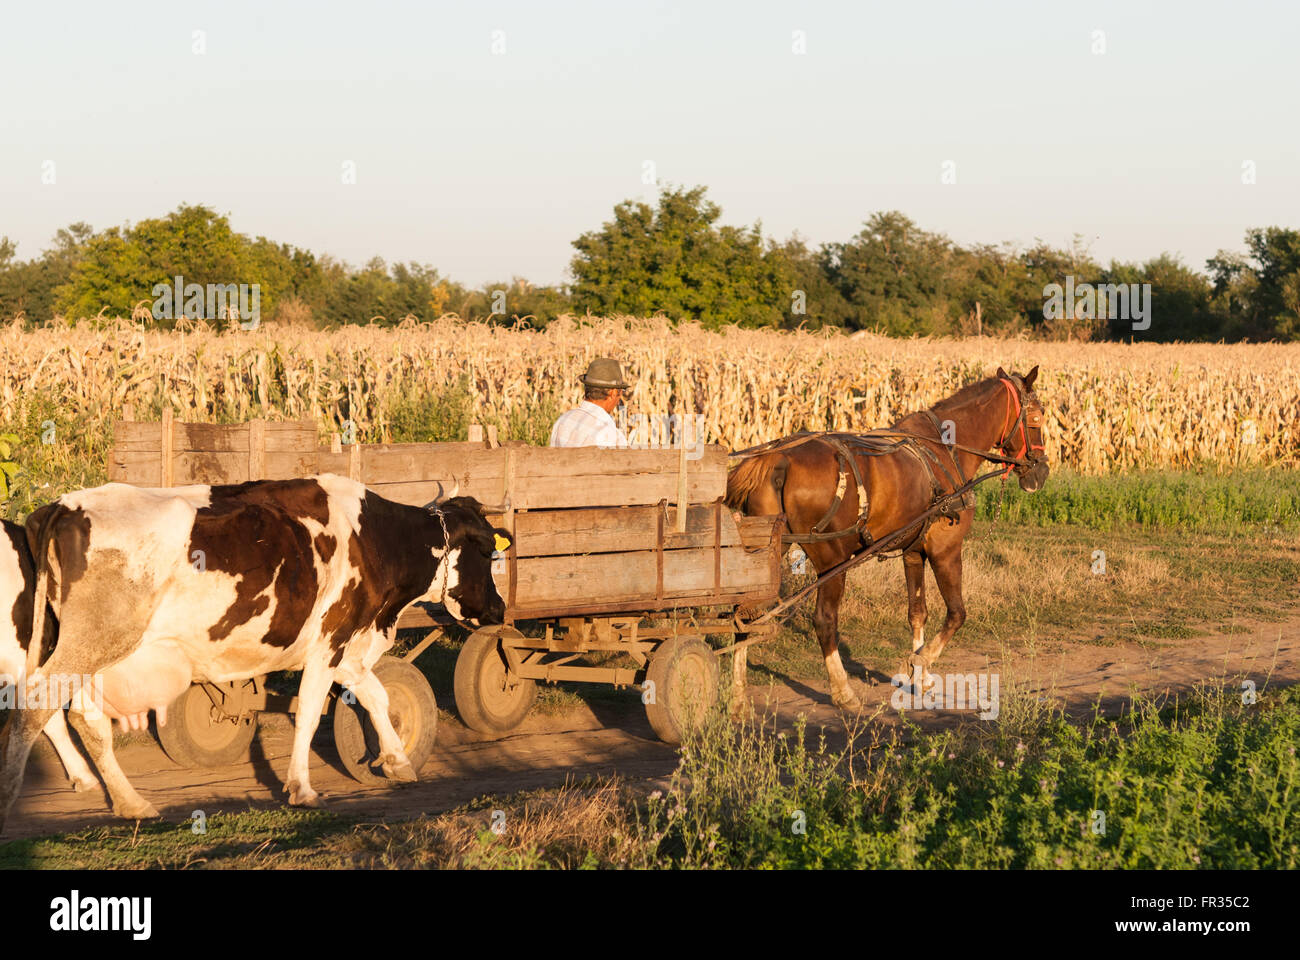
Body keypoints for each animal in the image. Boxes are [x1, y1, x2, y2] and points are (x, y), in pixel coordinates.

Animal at [728, 361, 1050, 707]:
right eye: (1037, 417)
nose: (1042, 470)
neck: (944, 448)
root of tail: (777, 457)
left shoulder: (913, 551)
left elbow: (918, 613)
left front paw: (920, 676)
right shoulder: (946, 550)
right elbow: (957, 614)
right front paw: (920, 660)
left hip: (765, 553)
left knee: (745, 615)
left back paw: (737, 697)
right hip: (831, 561)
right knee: (824, 620)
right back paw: (843, 692)